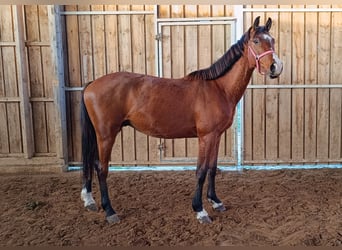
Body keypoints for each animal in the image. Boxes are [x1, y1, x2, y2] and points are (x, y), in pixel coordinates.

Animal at [80, 16, 284, 224]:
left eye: (273, 40)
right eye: (256, 41)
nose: (276, 67)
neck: (218, 88)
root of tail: (92, 84)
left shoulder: (216, 136)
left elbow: (212, 168)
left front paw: (215, 201)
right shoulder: (206, 137)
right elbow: (201, 171)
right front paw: (200, 210)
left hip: (99, 134)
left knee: (91, 162)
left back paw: (89, 200)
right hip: (106, 135)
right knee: (101, 168)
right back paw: (109, 211)